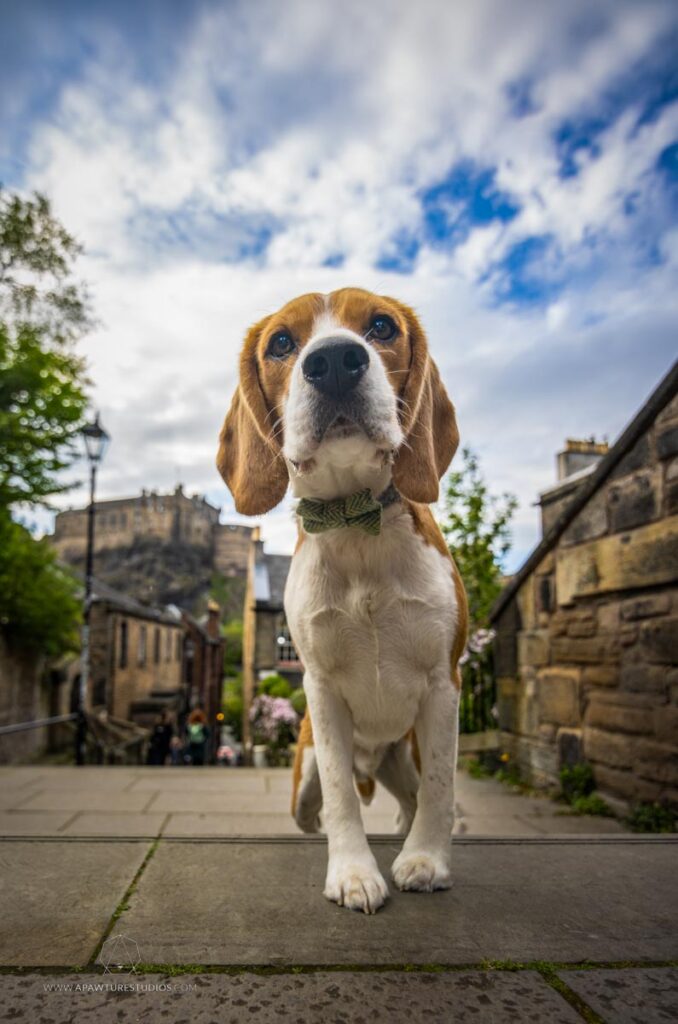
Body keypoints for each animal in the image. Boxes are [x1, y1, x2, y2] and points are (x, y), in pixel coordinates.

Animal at [218, 286, 467, 913]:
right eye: (281, 342)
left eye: (381, 326)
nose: (333, 361)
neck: (357, 530)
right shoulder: (321, 691)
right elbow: (339, 796)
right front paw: (353, 870)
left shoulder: (443, 682)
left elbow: (442, 786)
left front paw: (427, 859)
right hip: (301, 778)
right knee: (317, 809)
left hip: (404, 753)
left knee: (414, 798)